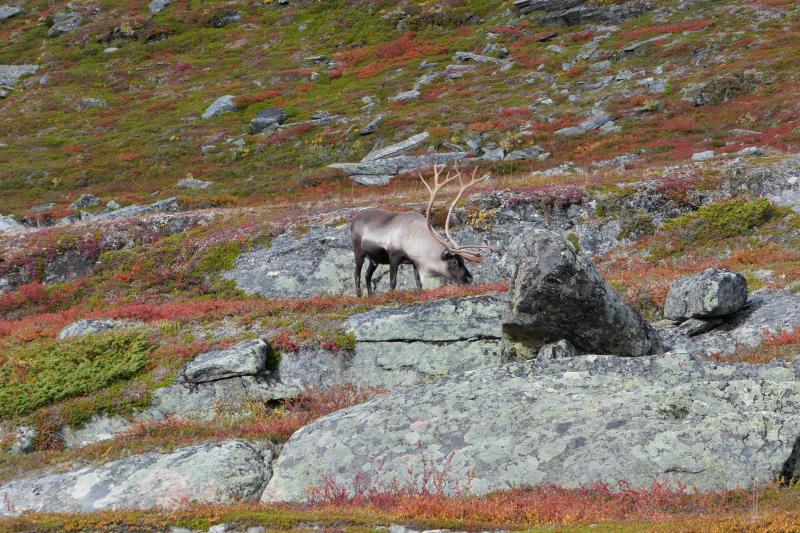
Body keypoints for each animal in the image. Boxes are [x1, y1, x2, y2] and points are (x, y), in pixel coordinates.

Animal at [350, 164, 494, 296]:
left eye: (463, 260)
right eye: (454, 262)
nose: (469, 279)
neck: (412, 238)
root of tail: (354, 220)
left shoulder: (415, 262)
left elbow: (418, 283)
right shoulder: (394, 256)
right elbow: (393, 282)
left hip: (373, 259)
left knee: (367, 275)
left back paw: (370, 296)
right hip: (358, 251)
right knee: (357, 274)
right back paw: (359, 296)